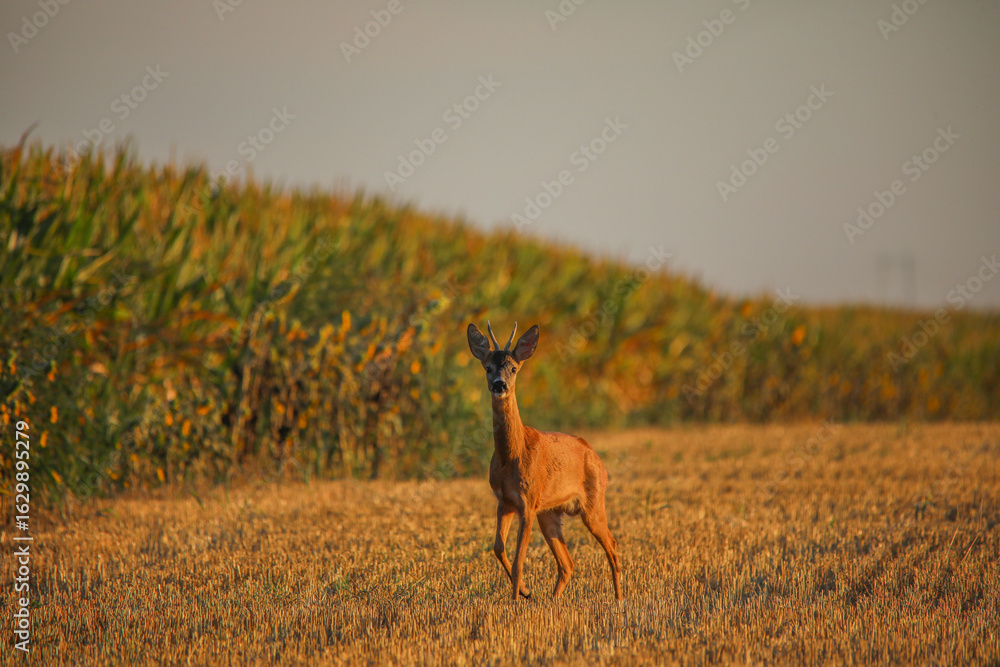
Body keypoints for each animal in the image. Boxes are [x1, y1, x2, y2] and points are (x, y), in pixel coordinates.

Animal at [467, 321, 622, 602]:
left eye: (513, 368)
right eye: (487, 368)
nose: (499, 385)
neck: (511, 456)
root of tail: (594, 454)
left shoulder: (528, 502)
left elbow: (519, 560)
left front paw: (516, 599)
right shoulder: (505, 501)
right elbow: (498, 548)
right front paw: (526, 592)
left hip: (593, 503)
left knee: (612, 546)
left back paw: (619, 599)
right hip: (549, 513)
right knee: (568, 562)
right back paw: (553, 599)